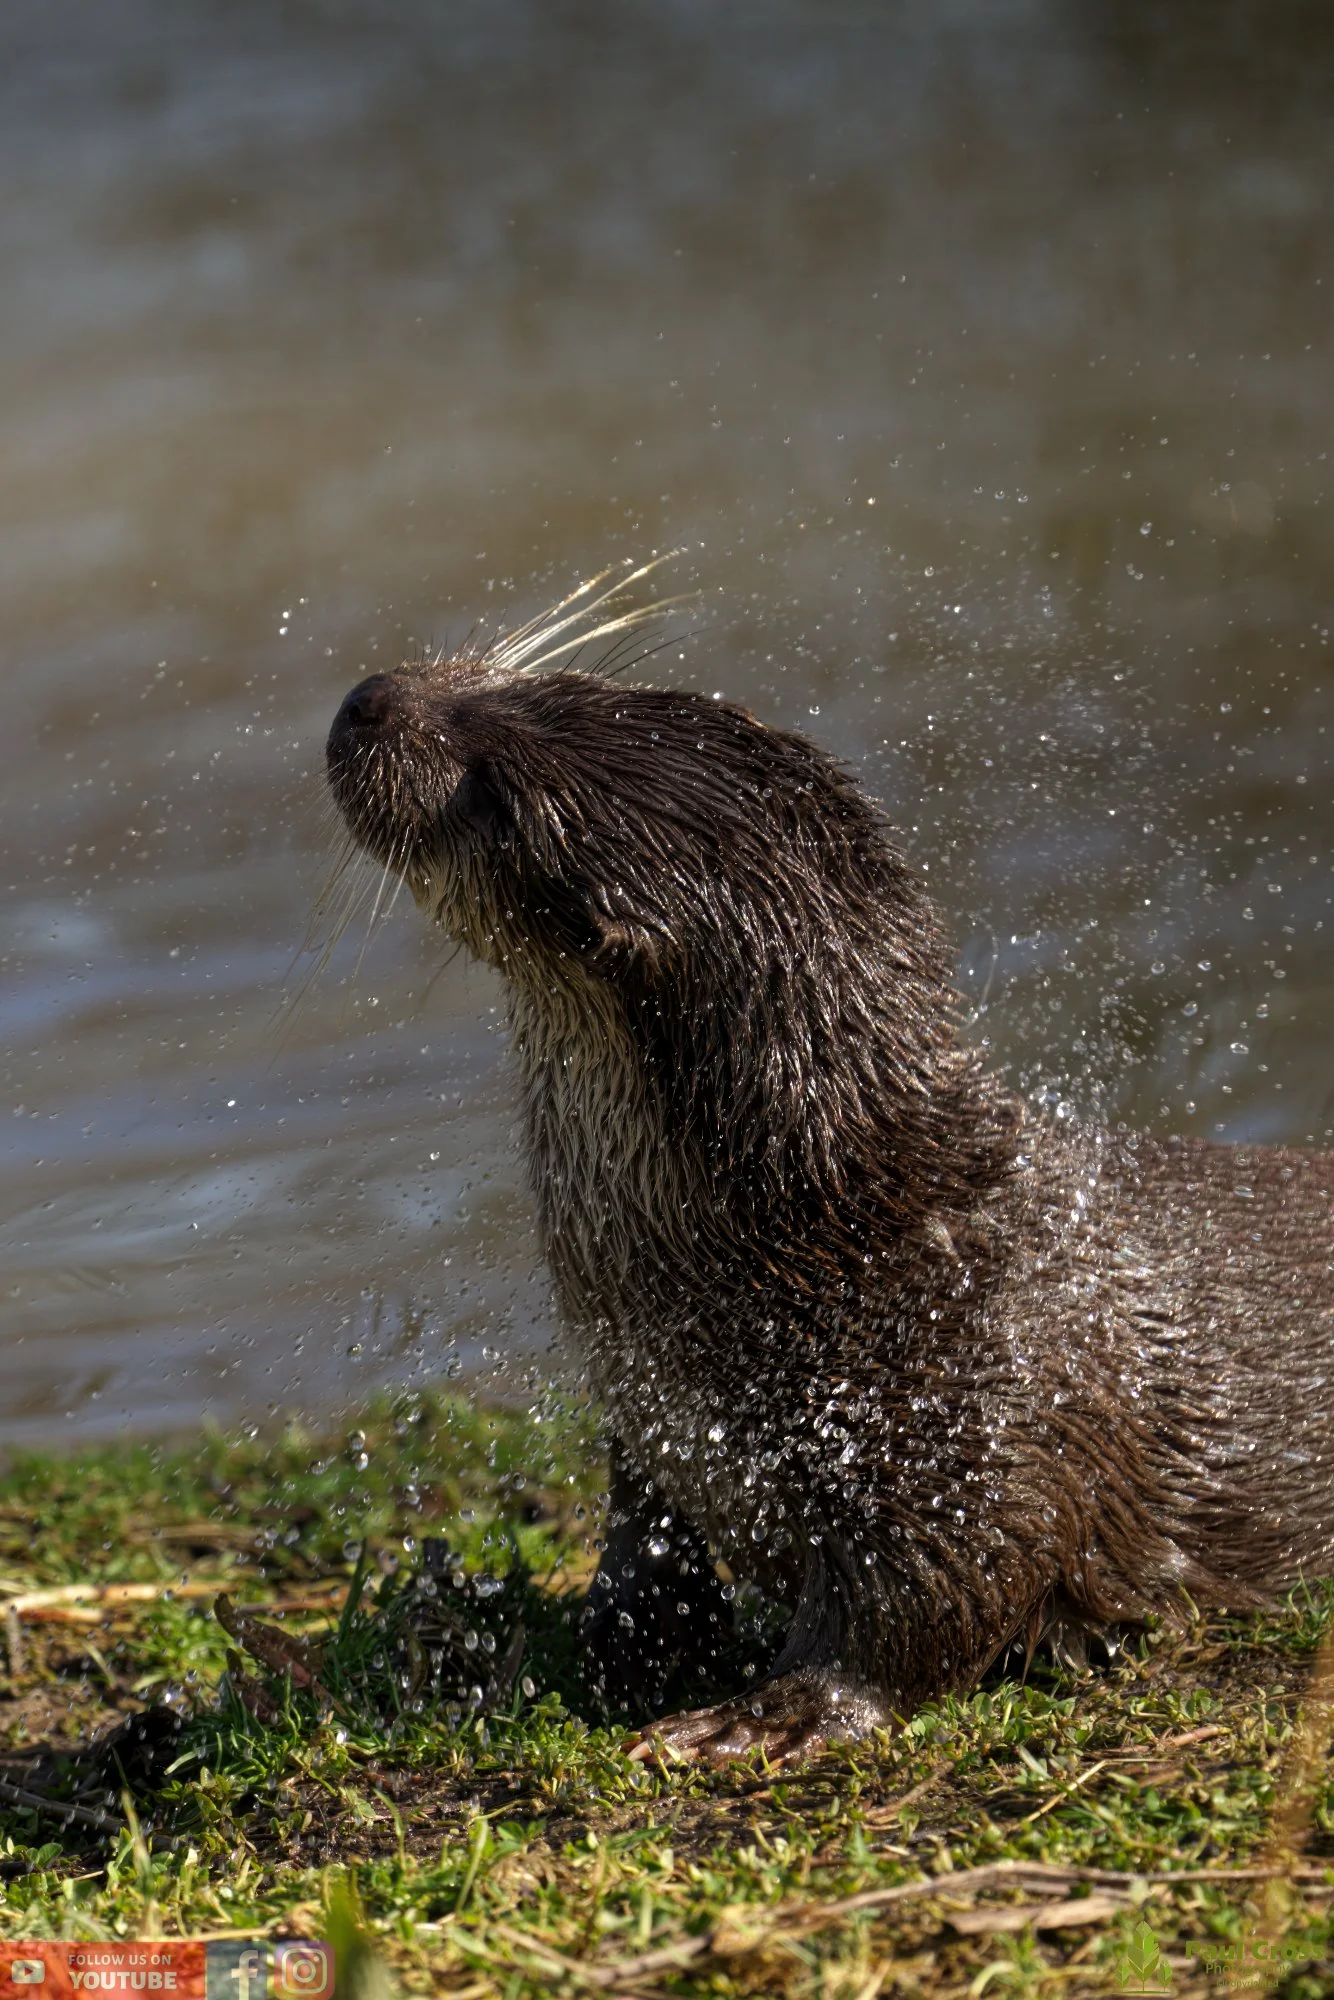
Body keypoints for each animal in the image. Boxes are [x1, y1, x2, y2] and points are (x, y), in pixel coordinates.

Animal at [325, 571, 1334, 1764]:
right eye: (549, 684)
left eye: (496, 799)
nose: (368, 699)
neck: (818, 1244)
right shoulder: (653, 1422)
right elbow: (643, 1541)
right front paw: (593, 1642)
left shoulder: (975, 1415)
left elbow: (937, 1593)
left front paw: (768, 1712)